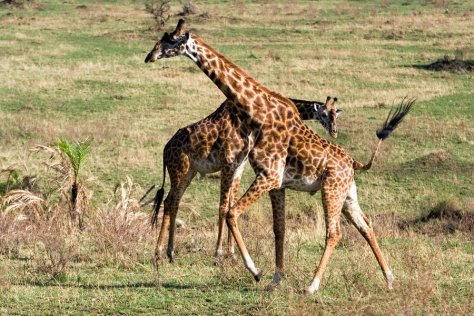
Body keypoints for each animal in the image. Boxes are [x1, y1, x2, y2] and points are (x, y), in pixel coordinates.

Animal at [141, 96, 340, 264]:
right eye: (324, 114)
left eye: (337, 113)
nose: (334, 131)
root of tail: (165, 150)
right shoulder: (227, 164)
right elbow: (222, 208)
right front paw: (218, 254)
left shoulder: (239, 166)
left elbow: (231, 204)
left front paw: (232, 253)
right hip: (179, 170)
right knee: (170, 201)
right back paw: (159, 253)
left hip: (189, 172)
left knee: (173, 201)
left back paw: (170, 253)